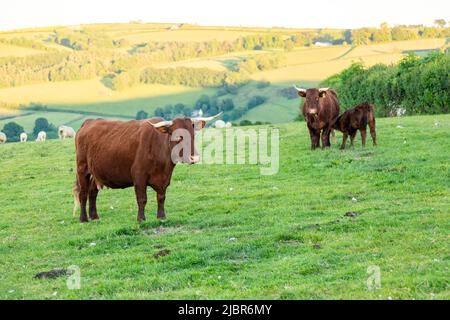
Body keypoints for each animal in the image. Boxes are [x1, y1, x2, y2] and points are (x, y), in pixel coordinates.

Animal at [74, 114, 222, 224]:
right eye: (178, 136)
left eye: (193, 135)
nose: (194, 158)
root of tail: (88, 122)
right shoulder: (139, 176)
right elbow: (142, 199)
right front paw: (141, 219)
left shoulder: (164, 178)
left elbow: (161, 197)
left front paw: (161, 217)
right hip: (82, 168)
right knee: (83, 193)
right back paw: (83, 219)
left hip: (96, 172)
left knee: (92, 192)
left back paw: (94, 216)